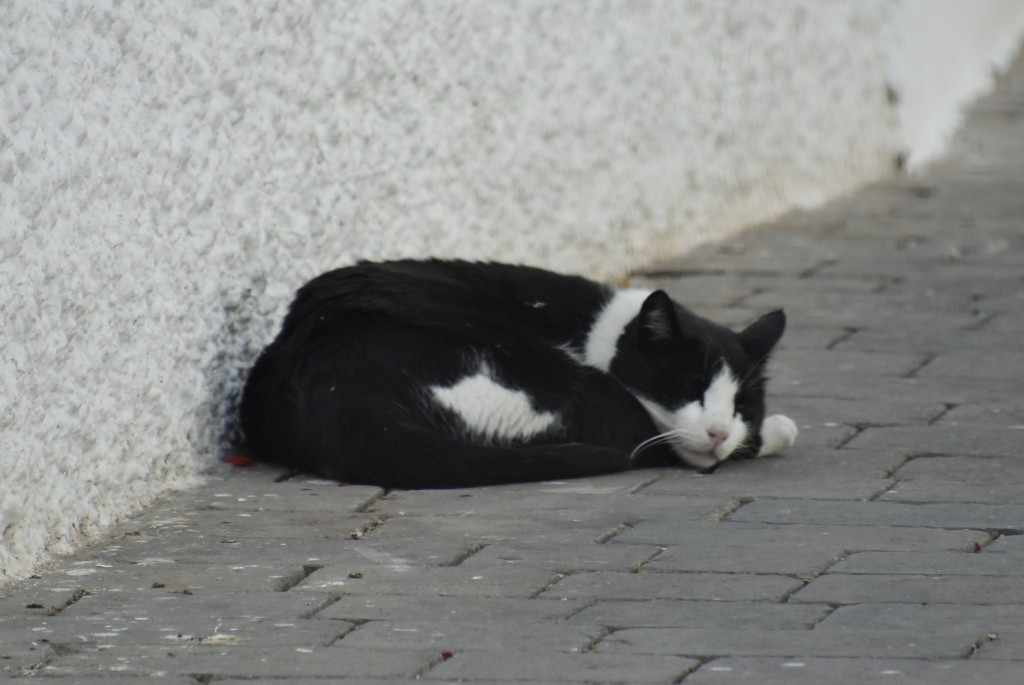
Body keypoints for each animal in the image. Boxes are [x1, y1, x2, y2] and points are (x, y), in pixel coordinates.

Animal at [241, 259, 798, 489]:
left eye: (740, 406)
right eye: (688, 388)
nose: (721, 430)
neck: (593, 328)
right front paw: (769, 432)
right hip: (572, 386)